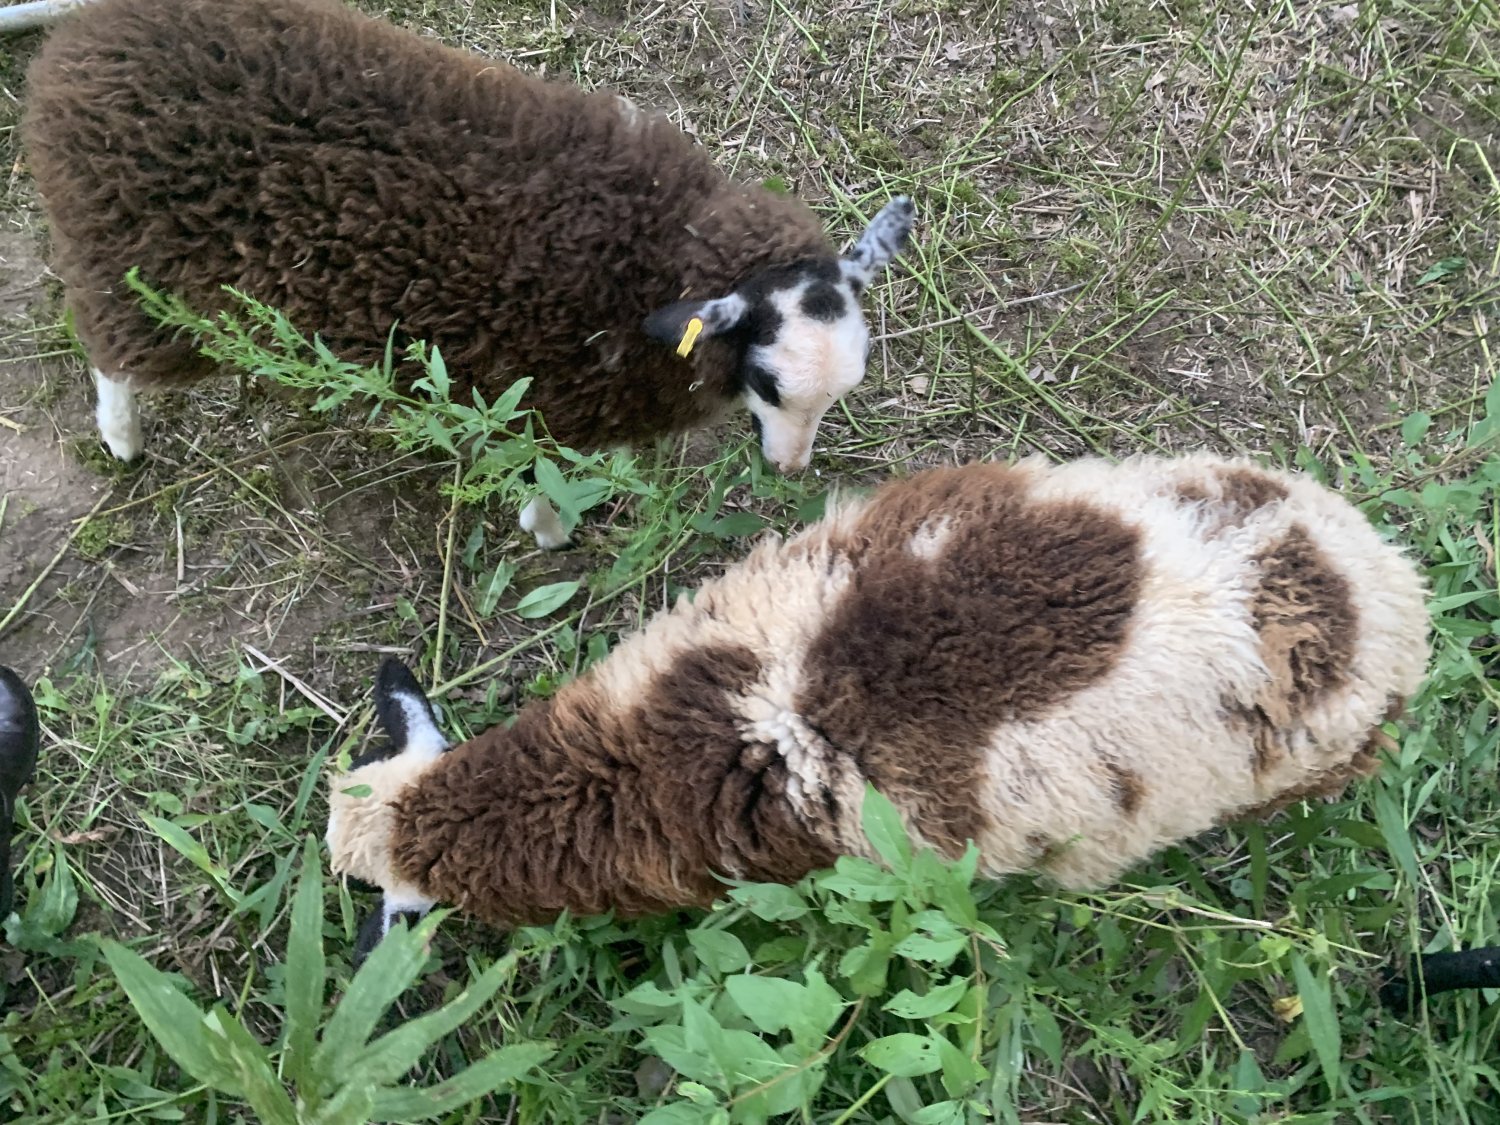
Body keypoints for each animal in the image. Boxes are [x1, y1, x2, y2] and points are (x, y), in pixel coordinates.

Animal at [21, 0, 916, 548]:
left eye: (840, 394)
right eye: (767, 384)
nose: (789, 472)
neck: (651, 248)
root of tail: (82, 41)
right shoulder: (544, 398)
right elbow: (544, 474)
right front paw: (549, 530)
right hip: (129, 265)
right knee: (112, 357)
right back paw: (122, 439)